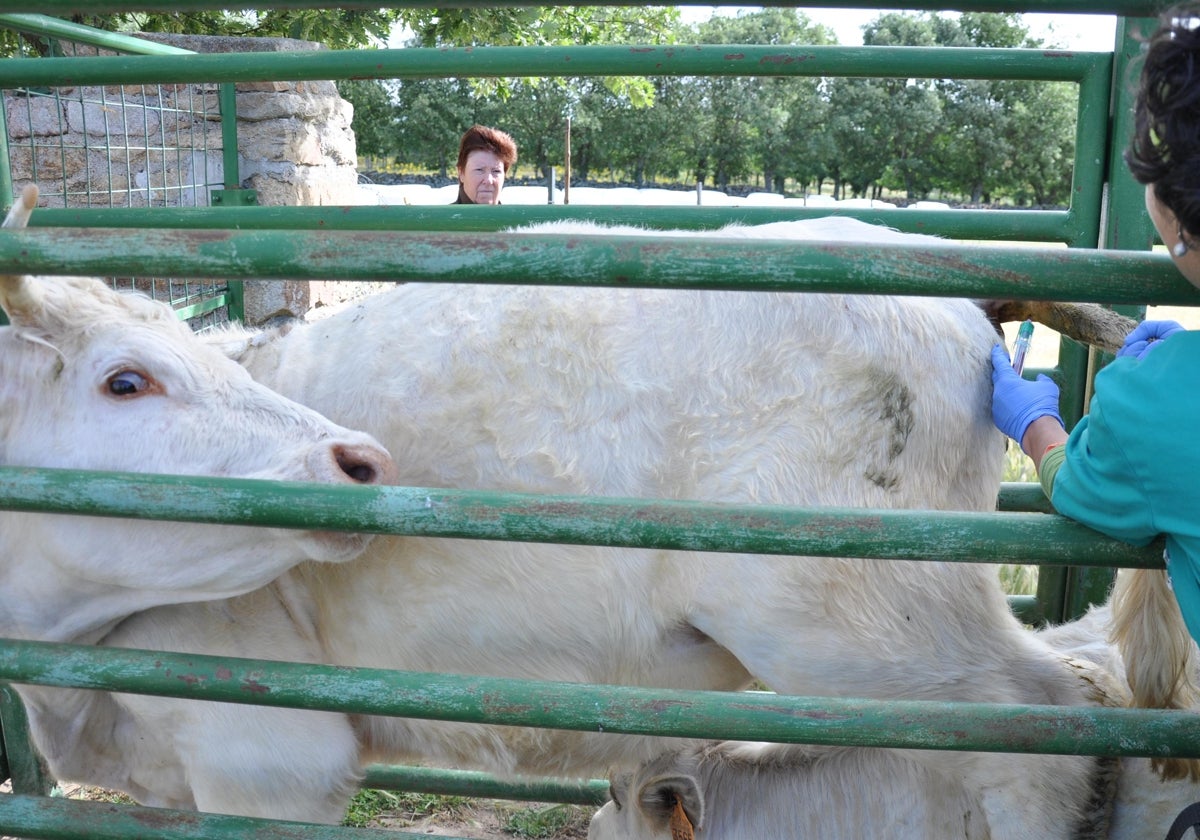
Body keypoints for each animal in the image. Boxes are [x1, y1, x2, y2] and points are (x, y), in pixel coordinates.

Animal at [11, 219, 1142, 835]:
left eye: (125, 379)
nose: (356, 461)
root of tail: (942, 282)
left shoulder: (264, 751)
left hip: (865, 618)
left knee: (1037, 724)